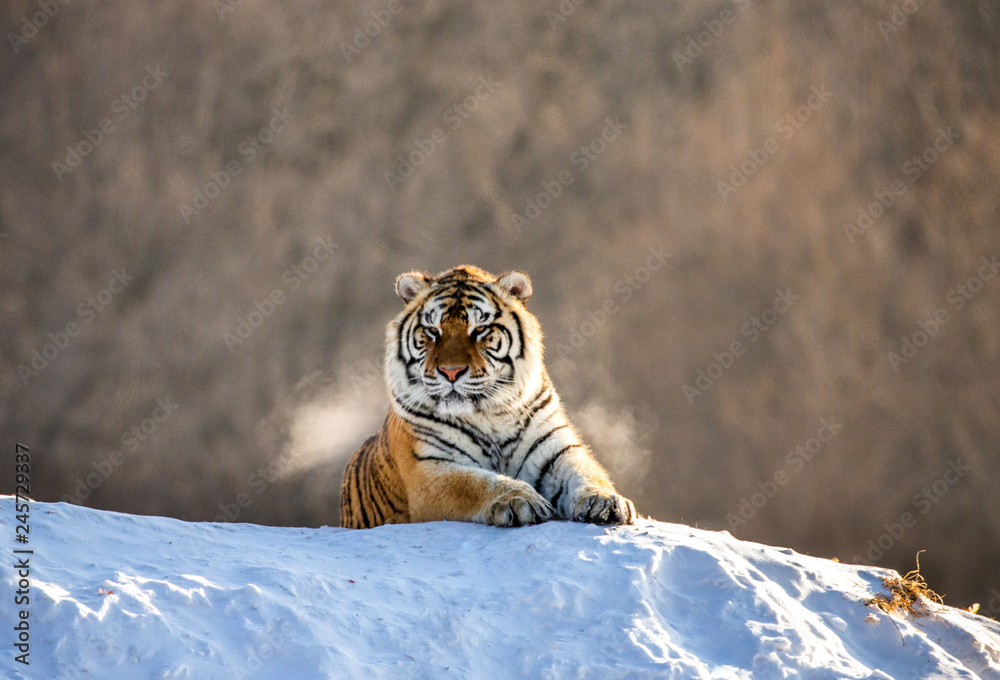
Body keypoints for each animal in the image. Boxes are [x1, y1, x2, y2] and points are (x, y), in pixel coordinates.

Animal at [340, 266, 636, 532]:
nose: (451, 371)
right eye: (433, 331)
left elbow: (587, 472)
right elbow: (475, 483)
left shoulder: (558, 449)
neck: (490, 415)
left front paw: (605, 502)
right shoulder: (427, 470)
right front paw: (520, 500)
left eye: (480, 330)